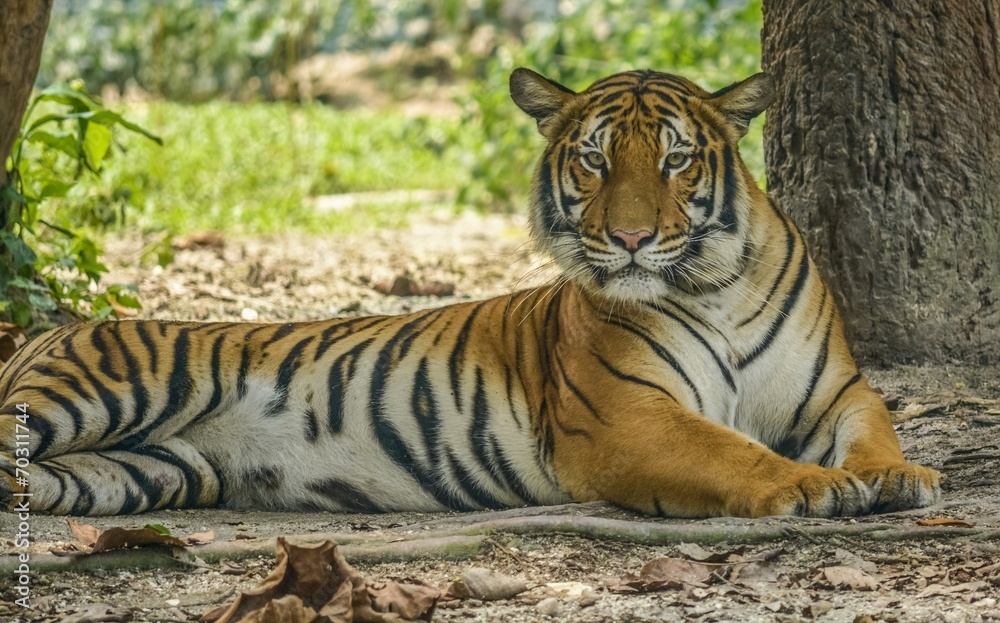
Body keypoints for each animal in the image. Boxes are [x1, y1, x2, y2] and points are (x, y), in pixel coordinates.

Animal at [0, 67, 941, 518]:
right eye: (595, 159)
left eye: (677, 159)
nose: (633, 238)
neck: (715, 283)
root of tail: (45, 331)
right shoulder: (630, 417)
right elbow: (732, 451)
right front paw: (810, 486)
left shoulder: (836, 392)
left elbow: (876, 430)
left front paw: (898, 476)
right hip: (93, 395)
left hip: (146, 469)